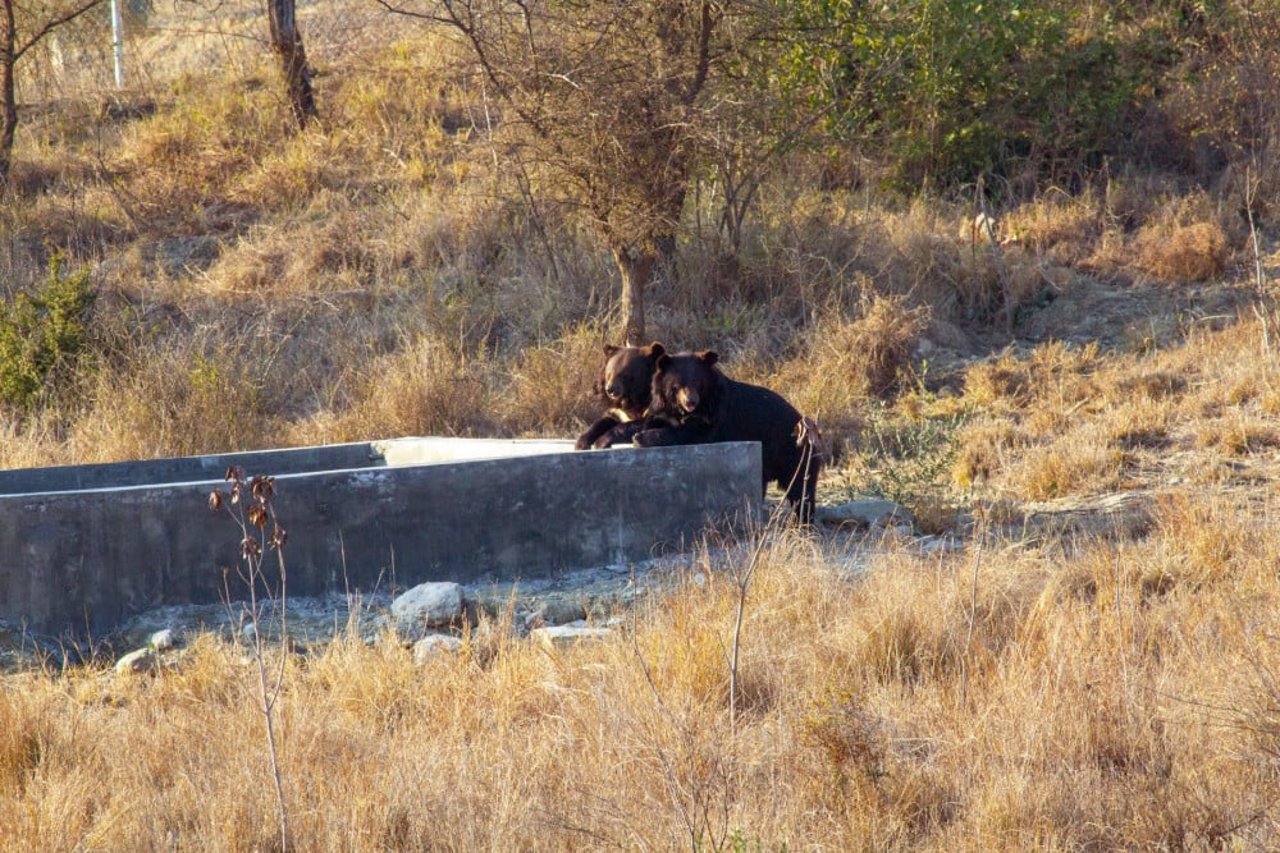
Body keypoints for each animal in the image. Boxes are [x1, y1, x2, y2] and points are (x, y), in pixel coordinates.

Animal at [629, 348, 819, 522]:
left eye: (698, 383)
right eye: (677, 385)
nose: (691, 401)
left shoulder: (715, 413)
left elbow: (696, 433)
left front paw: (641, 438)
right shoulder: (663, 407)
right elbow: (656, 419)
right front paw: (639, 432)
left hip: (792, 454)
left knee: (801, 490)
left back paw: (802, 522)